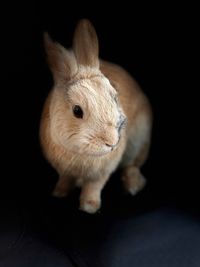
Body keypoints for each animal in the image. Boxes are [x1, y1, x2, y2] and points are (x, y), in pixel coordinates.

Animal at [40, 18, 153, 215]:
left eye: (115, 97)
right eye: (77, 111)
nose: (112, 143)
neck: (80, 153)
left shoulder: (101, 172)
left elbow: (93, 186)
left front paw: (89, 207)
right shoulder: (65, 171)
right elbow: (65, 179)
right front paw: (59, 193)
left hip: (139, 142)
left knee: (132, 166)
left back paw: (132, 186)